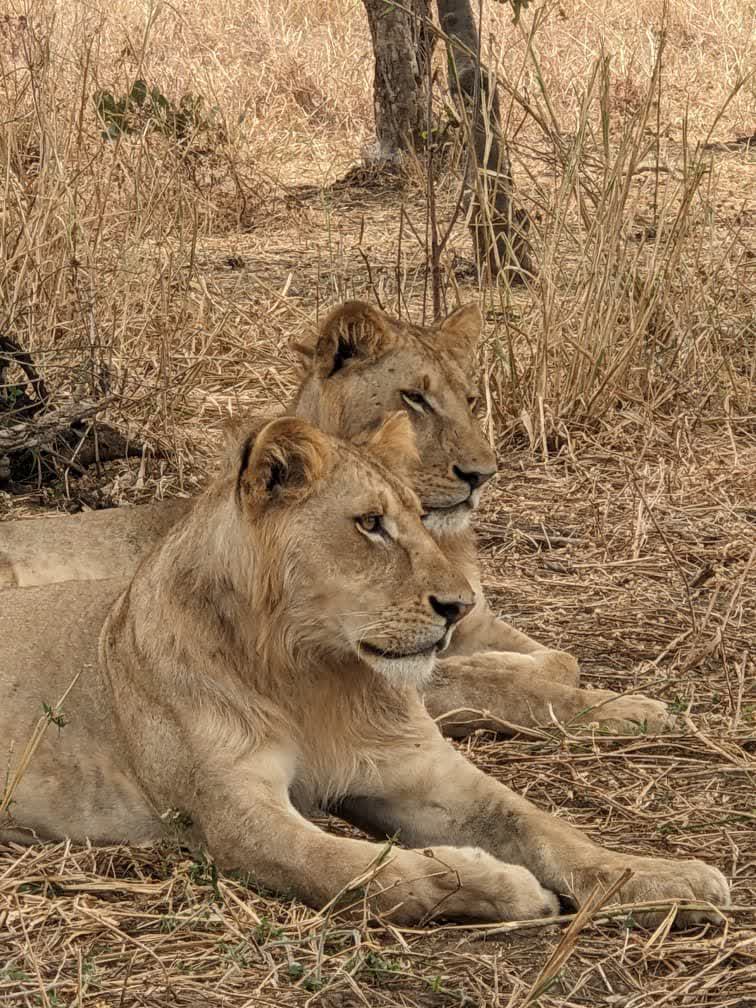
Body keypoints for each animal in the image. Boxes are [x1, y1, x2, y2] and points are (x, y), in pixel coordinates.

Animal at [0, 301, 671, 734]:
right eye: (414, 397)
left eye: (469, 399)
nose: (483, 473)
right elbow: (501, 685)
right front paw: (631, 709)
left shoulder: (475, 618)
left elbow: (559, 658)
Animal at [0, 415, 728, 925]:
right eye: (370, 523)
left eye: (422, 518)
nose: (458, 606)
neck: (313, 671)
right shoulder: (234, 815)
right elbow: (359, 869)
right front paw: (500, 886)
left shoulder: (418, 771)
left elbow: (542, 826)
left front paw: (661, 878)